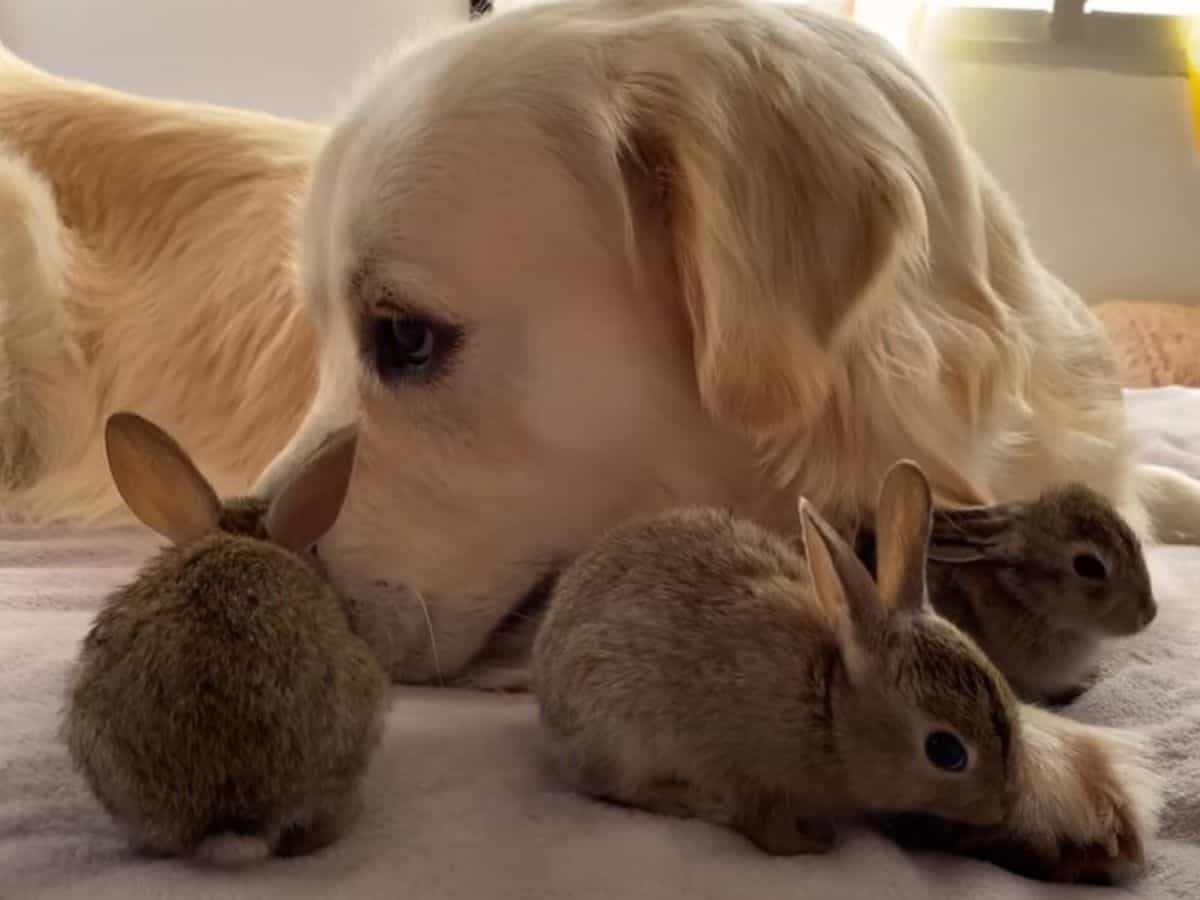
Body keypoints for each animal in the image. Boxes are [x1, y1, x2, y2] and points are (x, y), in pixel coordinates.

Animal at [535, 460, 1022, 854]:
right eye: (946, 751)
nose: (1003, 807)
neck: (831, 711)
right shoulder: (749, 773)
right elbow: (767, 829)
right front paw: (815, 844)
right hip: (621, 736)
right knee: (617, 788)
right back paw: (687, 801)